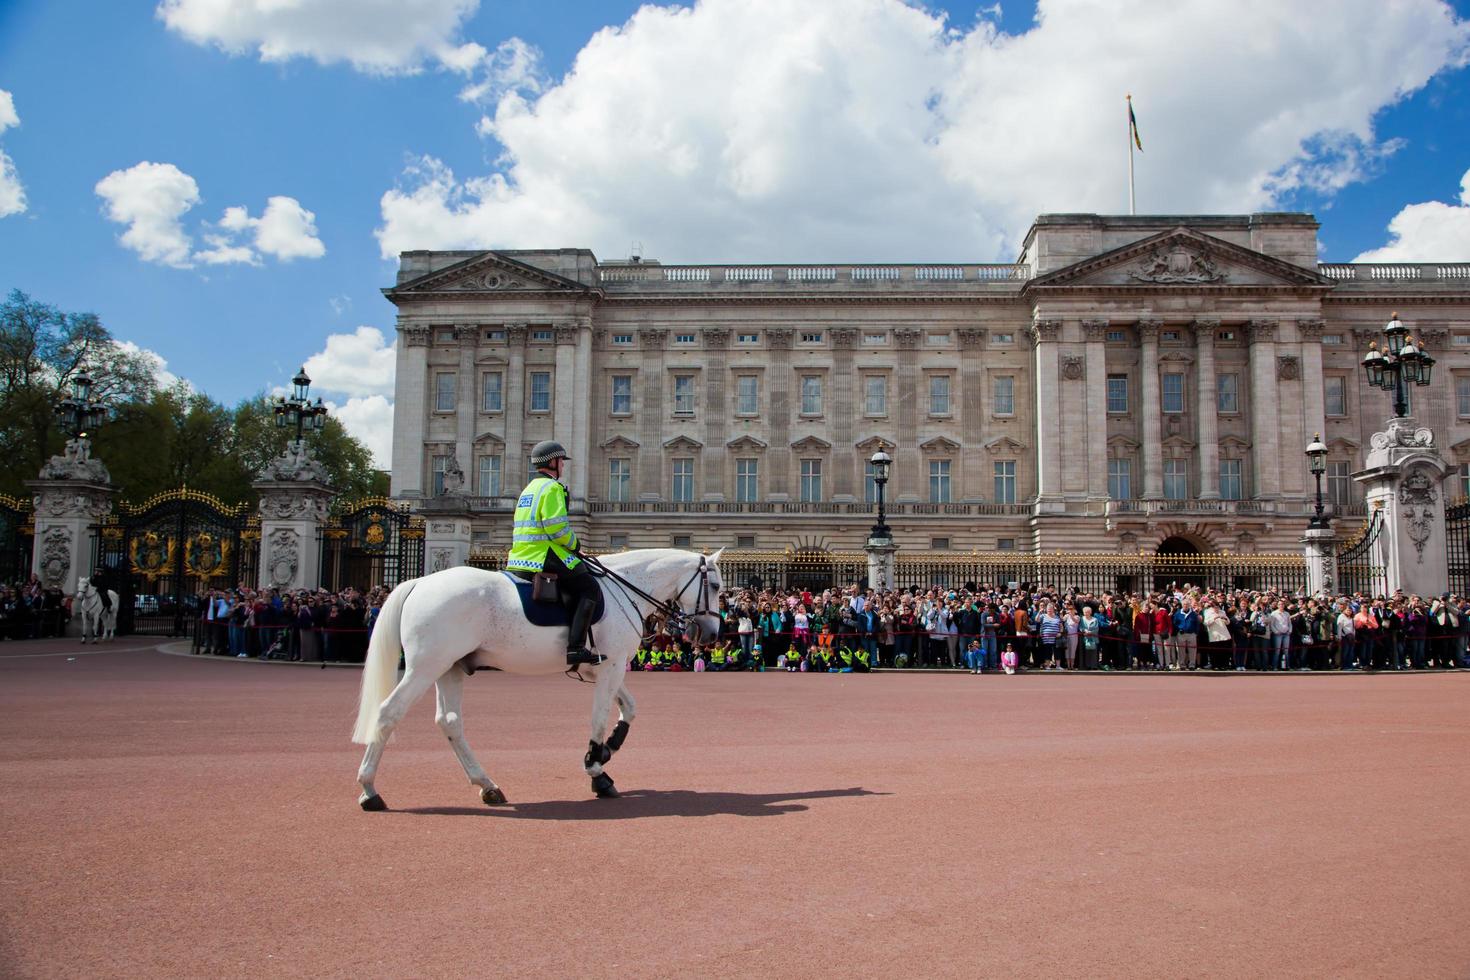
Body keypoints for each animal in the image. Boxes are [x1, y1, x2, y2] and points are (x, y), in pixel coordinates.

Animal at [355, 549, 723, 811]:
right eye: (717, 586)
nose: (710, 634)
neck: (624, 588)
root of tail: (419, 581)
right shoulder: (612, 666)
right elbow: (599, 717)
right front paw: (596, 770)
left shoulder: (606, 667)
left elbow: (629, 708)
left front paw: (607, 749)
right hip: (426, 666)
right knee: (388, 713)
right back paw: (369, 790)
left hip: (450, 667)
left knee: (449, 721)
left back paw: (487, 785)